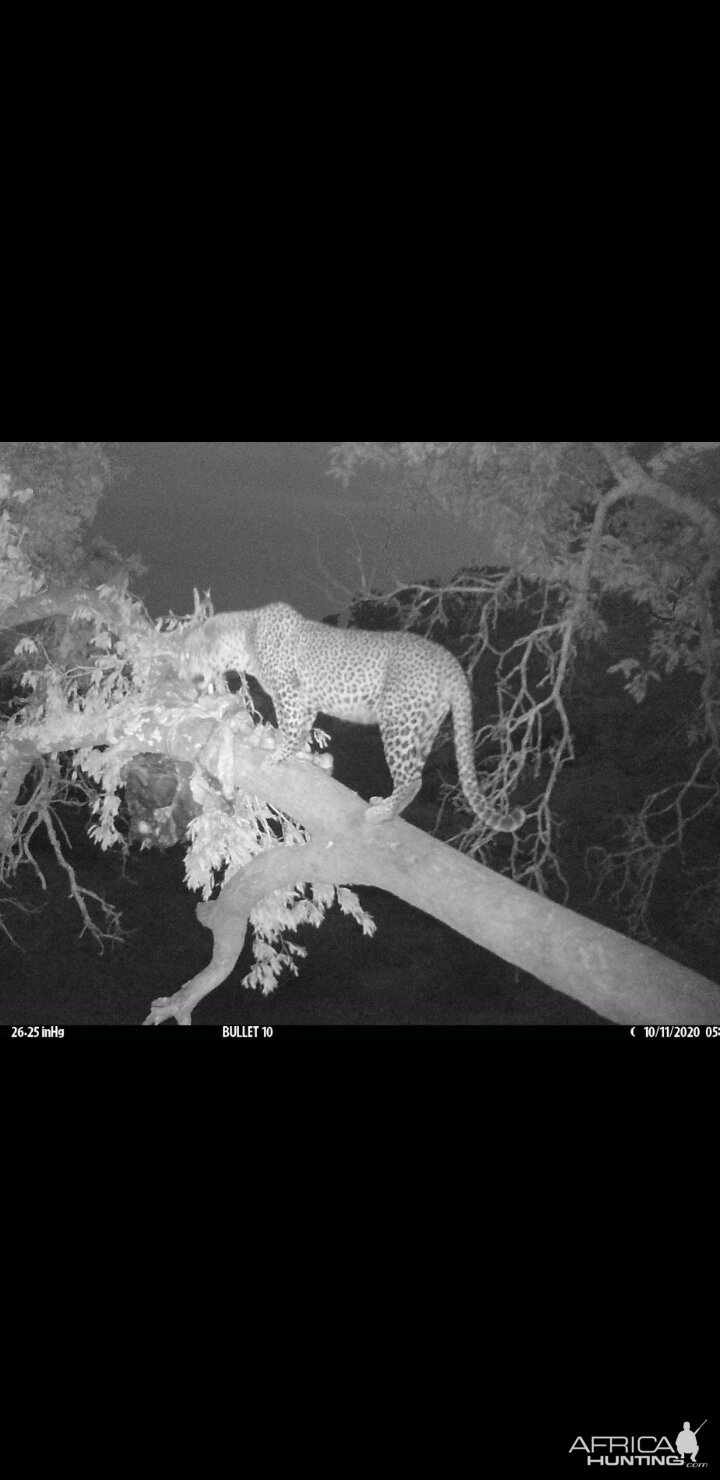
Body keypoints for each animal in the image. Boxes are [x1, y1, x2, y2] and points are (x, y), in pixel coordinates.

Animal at [174, 603, 524, 834]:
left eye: (188, 655)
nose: (179, 676)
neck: (244, 637)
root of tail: (449, 659)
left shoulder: (289, 692)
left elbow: (290, 727)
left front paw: (277, 754)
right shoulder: (306, 700)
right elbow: (301, 730)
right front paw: (293, 752)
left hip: (398, 718)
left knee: (413, 778)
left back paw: (383, 814)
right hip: (424, 724)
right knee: (415, 773)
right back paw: (387, 802)